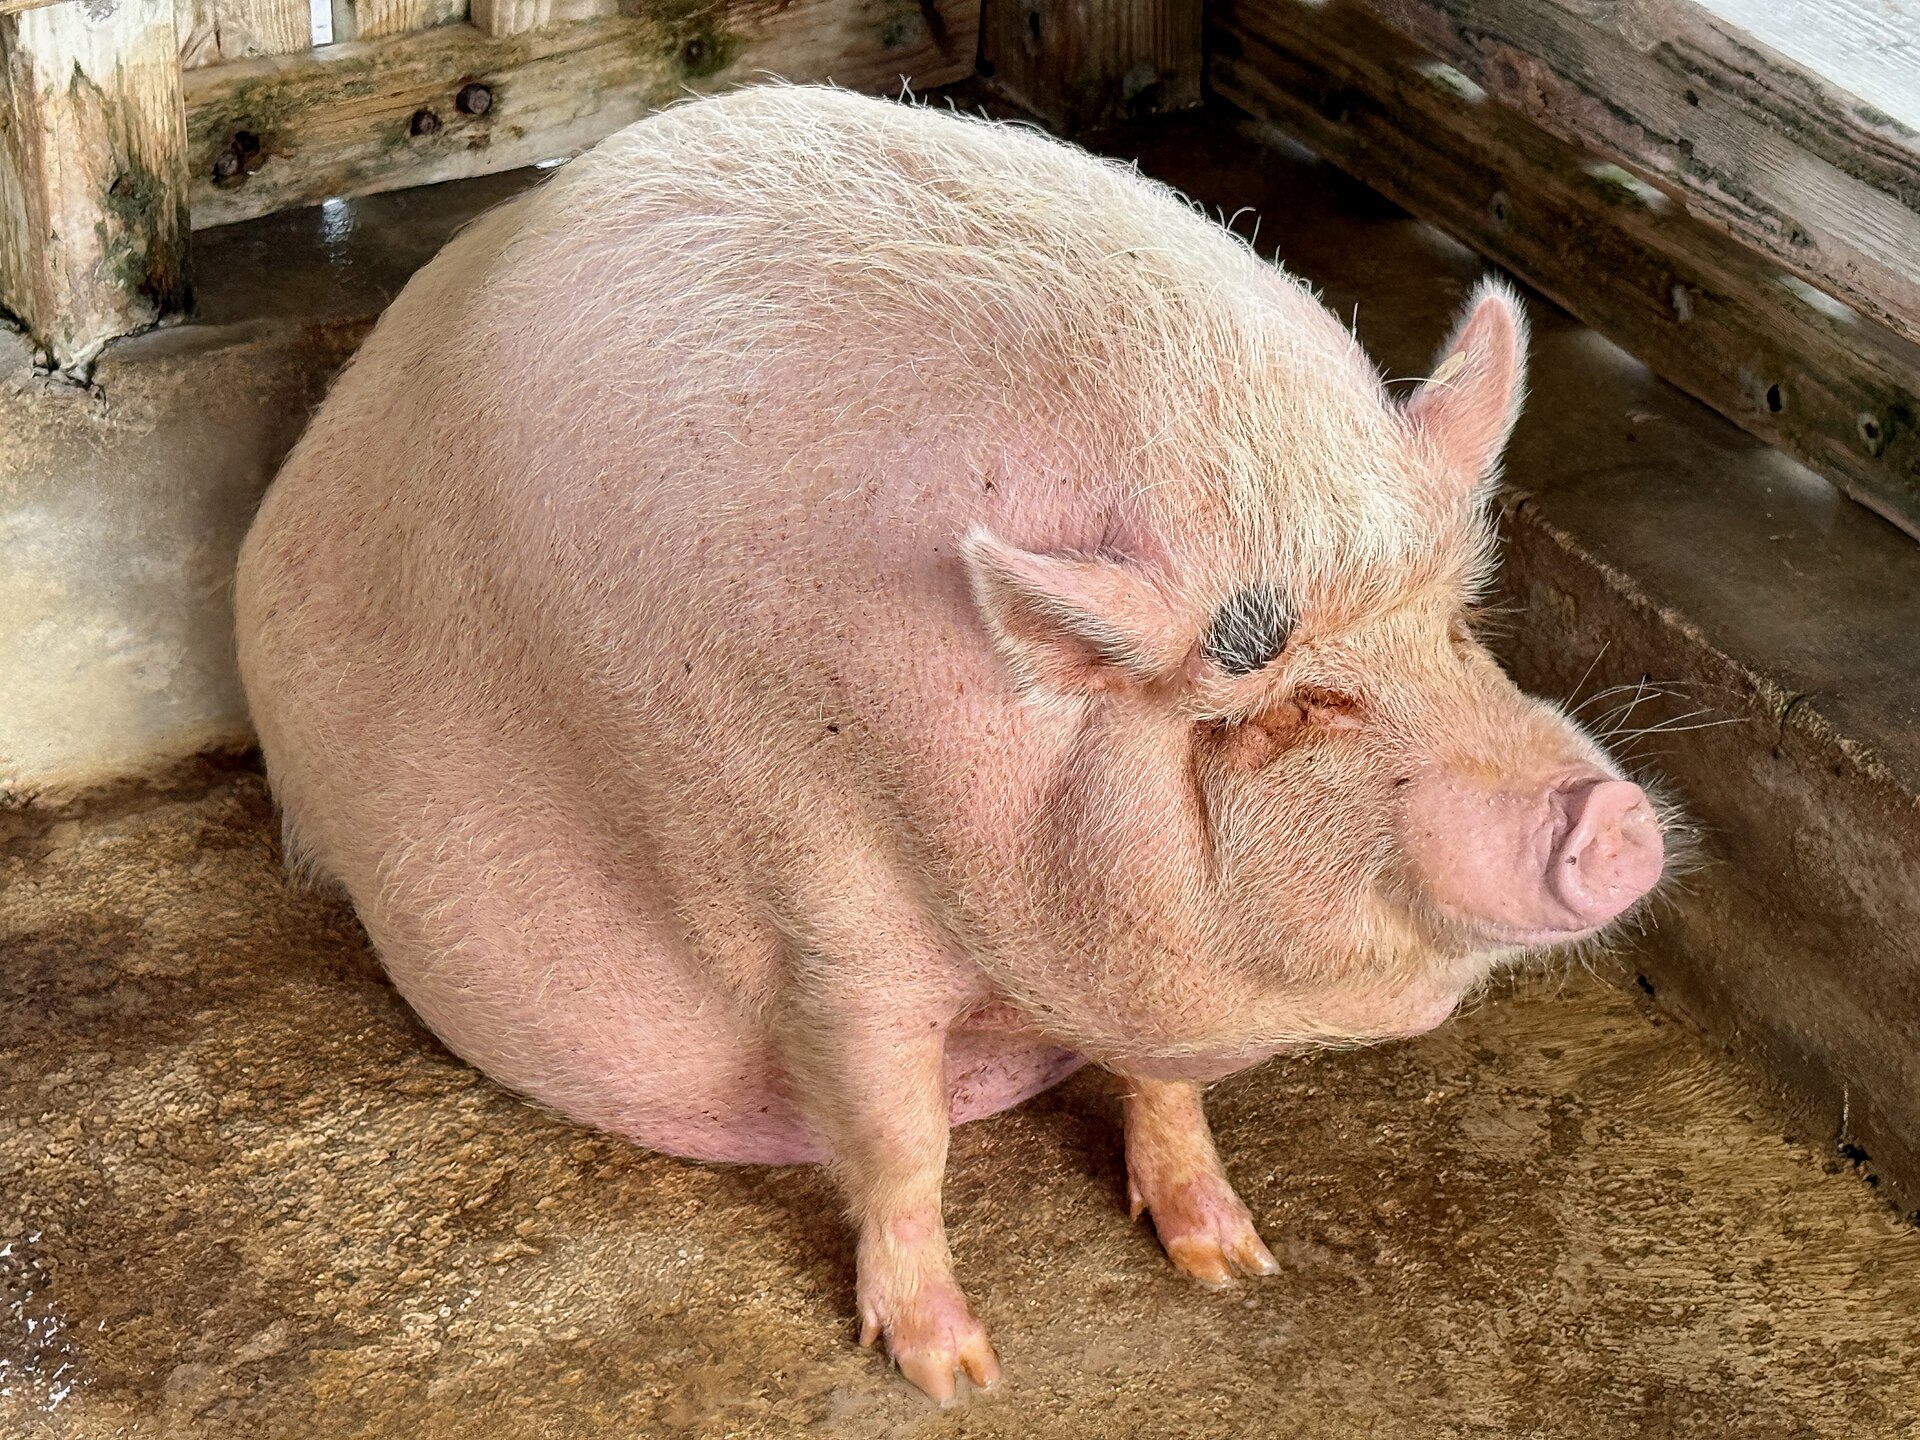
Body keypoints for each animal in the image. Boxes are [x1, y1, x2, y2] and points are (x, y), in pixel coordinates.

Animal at [233, 84, 1667, 1402]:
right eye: (1287, 710)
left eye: (1456, 628)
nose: (1613, 820)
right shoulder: (815, 903)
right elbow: (899, 1140)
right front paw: (955, 1374)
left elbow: (1162, 1086)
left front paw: (1234, 1264)